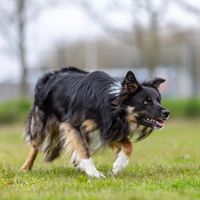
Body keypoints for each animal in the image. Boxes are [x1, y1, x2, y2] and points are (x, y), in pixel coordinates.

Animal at [21, 67, 169, 178]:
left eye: (158, 100)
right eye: (146, 102)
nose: (167, 113)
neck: (111, 104)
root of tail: (52, 74)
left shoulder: (109, 129)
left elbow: (129, 145)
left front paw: (118, 166)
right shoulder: (73, 126)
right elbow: (83, 150)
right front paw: (94, 173)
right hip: (42, 124)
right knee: (35, 145)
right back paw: (25, 167)